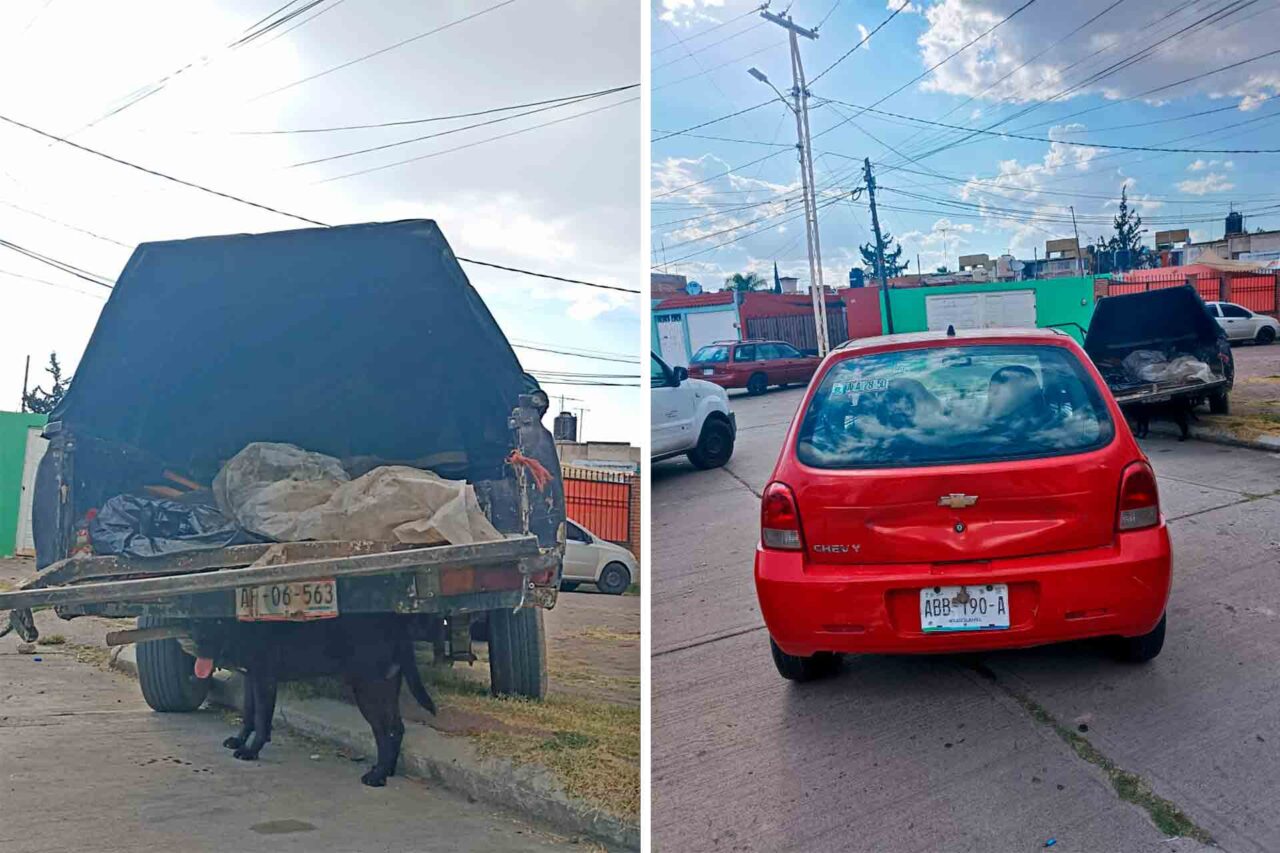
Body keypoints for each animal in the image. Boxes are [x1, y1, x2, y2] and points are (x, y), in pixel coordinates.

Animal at [186, 612, 435, 783]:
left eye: (218, 623)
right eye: (198, 621)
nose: (198, 646)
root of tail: (396, 626)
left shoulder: (264, 680)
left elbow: (261, 719)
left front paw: (251, 751)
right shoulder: (250, 679)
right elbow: (248, 713)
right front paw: (240, 740)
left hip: (368, 688)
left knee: (384, 730)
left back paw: (377, 775)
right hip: (387, 685)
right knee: (396, 727)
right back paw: (388, 770)